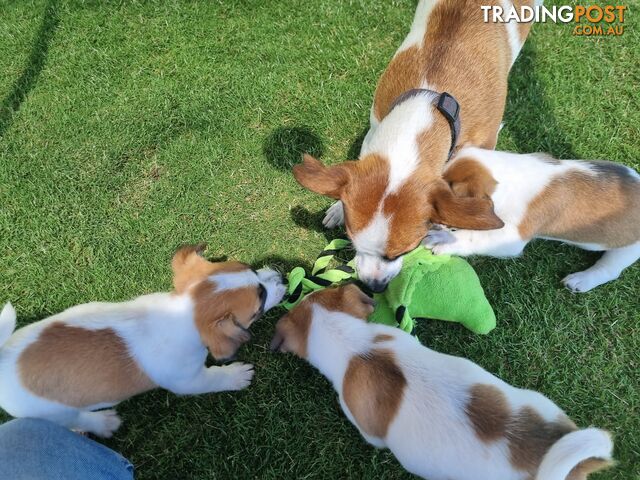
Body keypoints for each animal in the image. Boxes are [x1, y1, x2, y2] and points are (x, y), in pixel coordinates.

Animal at [0, 246, 284, 436]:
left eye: (252, 269)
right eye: (260, 301)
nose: (281, 277)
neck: (184, 311)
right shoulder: (188, 381)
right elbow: (213, 378)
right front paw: (235, 375)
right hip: (54, 412)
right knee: (76, 420)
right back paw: (104, 423)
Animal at [292, 0, 536, 290]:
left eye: (403, 252)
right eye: (352, 242)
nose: (373, 286)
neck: (430, 103)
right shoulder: (374, 129)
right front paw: (339, 207)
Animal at [424, 148, 640, 292]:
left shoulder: (512, 237)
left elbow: (472, 237)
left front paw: (446, 240)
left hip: (628, 249)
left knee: (610, 269)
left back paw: (582, 280)